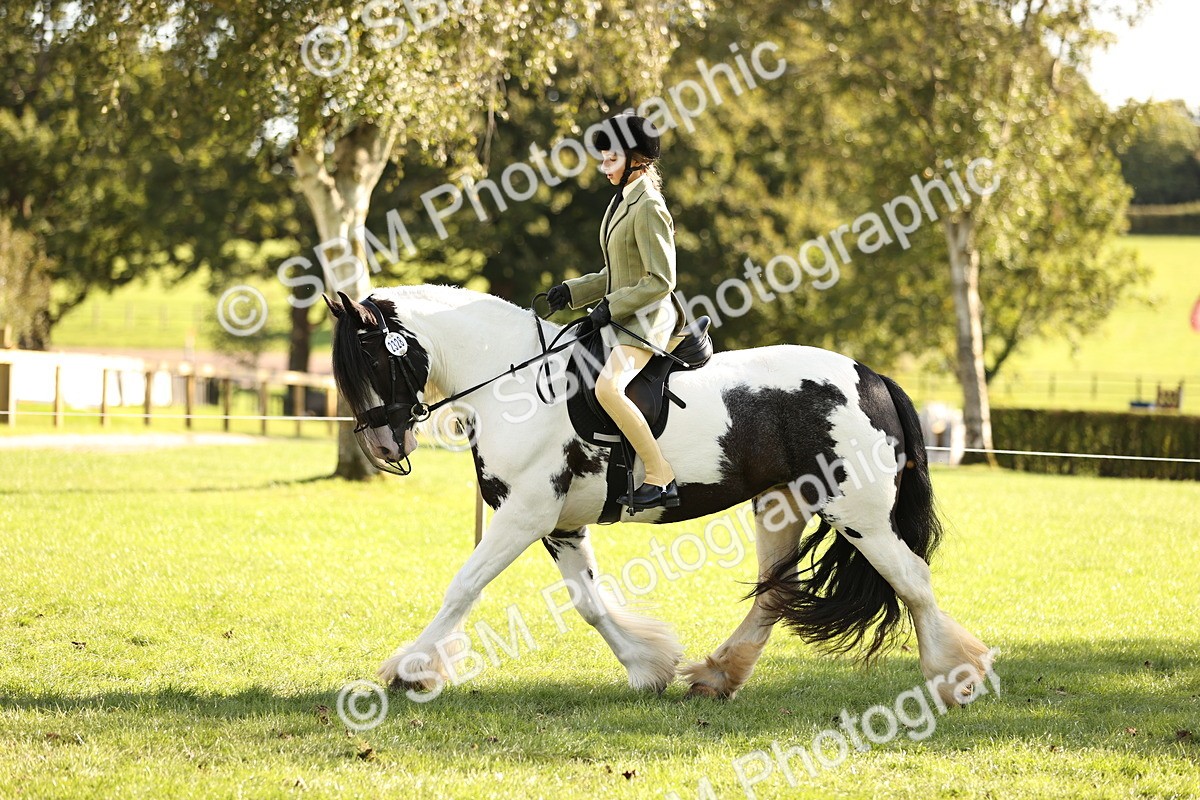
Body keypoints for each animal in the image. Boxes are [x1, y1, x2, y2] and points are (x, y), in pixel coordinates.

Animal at [325, 284, 992, 704]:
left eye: (370, 359)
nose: (382, 446)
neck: (514, 384)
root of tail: (871, 376)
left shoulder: (525, 515)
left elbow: (463, 586)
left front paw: (411, 670)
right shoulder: (559, 525)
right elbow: (589, 603)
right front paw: (649, 667)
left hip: (860, 516)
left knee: (914, 582)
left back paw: (956, 678)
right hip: (781, 506)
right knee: (775, 594)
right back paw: (716, 677)